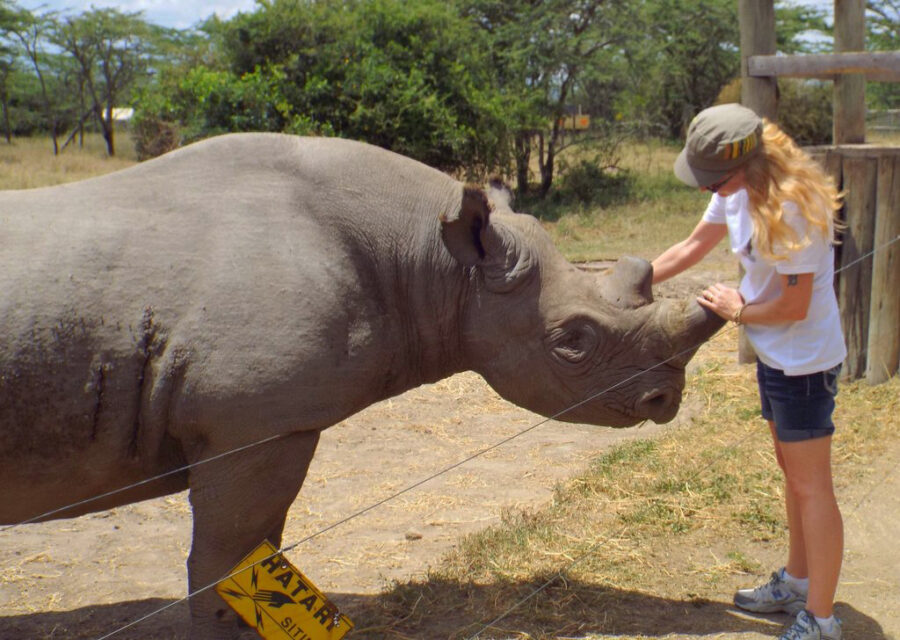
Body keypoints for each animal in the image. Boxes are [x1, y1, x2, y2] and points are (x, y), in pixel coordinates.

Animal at [0, 133, 723, 638]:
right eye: (572, 342)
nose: (666, 401)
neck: (433, 260)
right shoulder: (255, 425)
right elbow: (225, 561)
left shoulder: (261, 428)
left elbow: (255, 548)